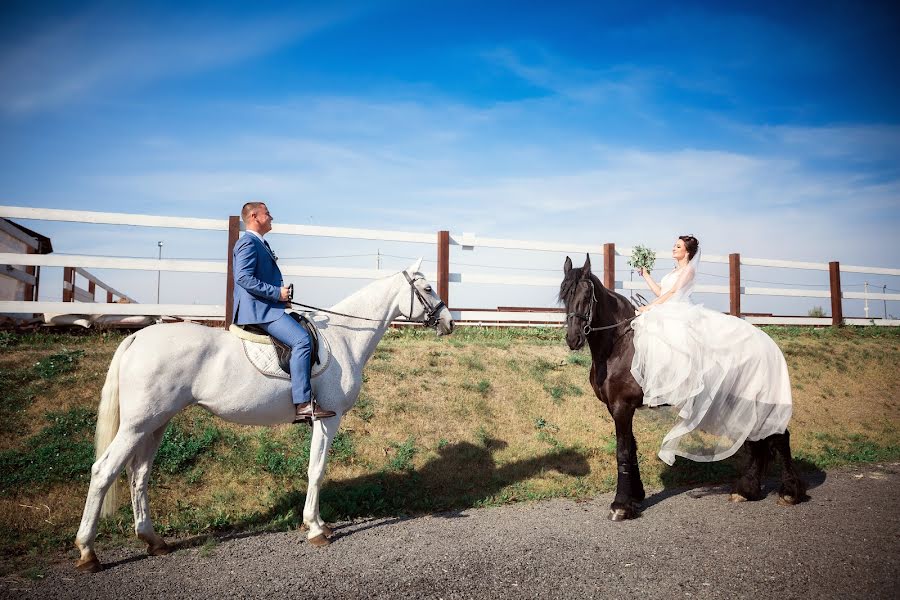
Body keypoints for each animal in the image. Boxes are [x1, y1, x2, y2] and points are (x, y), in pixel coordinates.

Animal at [74, 262, 454, 572]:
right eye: (428, 288)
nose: (449, 322)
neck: (344, 337)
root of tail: (137, 338)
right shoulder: (327, 419)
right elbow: (316, 470)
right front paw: (316, 528)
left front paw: (317, 523)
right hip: (137, 425)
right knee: (104, 471)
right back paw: (88, 552)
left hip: (156, 424)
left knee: (139, 475)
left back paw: (152, 540)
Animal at [560, 253, 804, 520]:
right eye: (564, 295)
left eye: (586, 296)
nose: (574, 339)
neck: (619, 345)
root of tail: (767, 343)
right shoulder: (620, 408)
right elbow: (632, 449)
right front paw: (636, 497)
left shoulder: (621, 407)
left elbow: (622, 451)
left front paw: (621, 505)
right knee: (756, 440)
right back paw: (746, 490)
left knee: (779, 437)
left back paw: (789, 493)